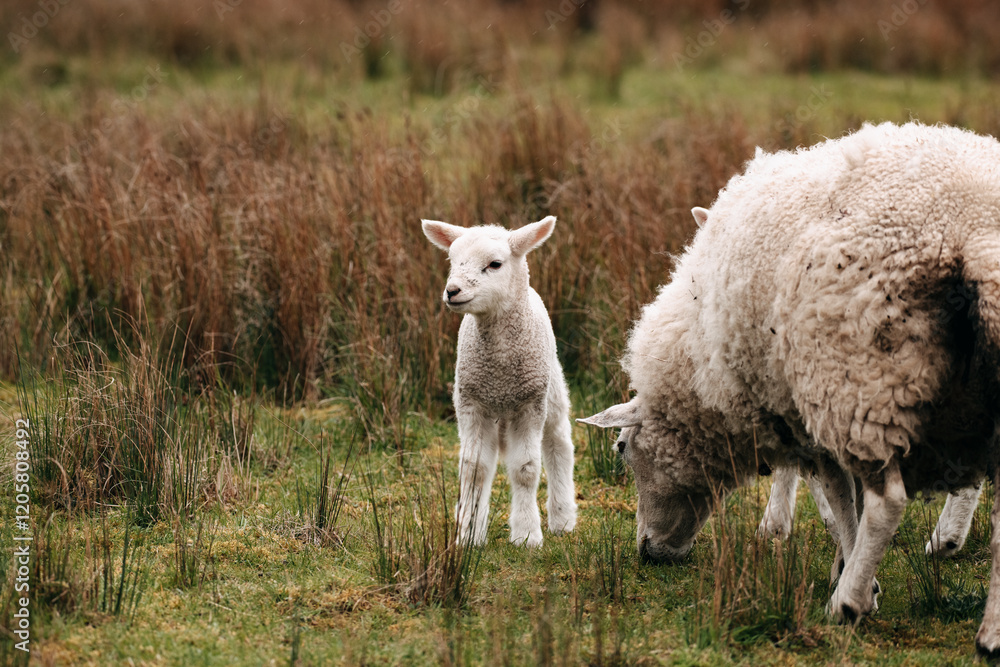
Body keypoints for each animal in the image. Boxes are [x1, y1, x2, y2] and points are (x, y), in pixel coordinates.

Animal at [422, 216, 577, 548]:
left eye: (494, 264)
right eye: (453, 261)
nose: (452, 291)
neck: (500, 371)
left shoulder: (529, 405)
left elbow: (525, 470)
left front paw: (527, 535)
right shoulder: (471, 405)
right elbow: (474, 470)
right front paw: (467, 535)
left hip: (552, 391)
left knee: (559, 445)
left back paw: (562, 518)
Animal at [580, 122, 1000, 654]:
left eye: (621, 448)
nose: (648, 552)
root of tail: (974, 230)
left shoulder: (807, 411)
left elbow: (844, 504)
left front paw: (853, 578)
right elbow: (841, 499)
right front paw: (843, 564)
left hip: (862, 375)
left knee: (888, 503)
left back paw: (849, 604)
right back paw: (987, 627)